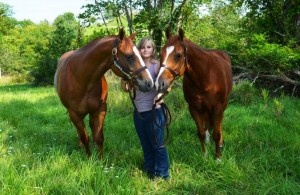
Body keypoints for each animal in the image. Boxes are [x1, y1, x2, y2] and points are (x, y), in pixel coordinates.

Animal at [54, 28, 154, 158]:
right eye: (129, 57)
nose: (149, 83)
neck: (81, 78)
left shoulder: (100, 109)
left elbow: (99, 137)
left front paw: (100, 160)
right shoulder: (74, 113)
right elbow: (84, 137)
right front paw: (89, 158)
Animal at [156, 28, 233, 160]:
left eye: (178, 55)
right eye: (161, 54)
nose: (160, 83)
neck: (206, 77)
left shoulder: (217, 107)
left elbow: (217, 133)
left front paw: (217, 158)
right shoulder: (194, 108)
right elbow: (201, 133)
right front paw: (205, 156)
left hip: (223, 105)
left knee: (219, 125)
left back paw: (220, 144)